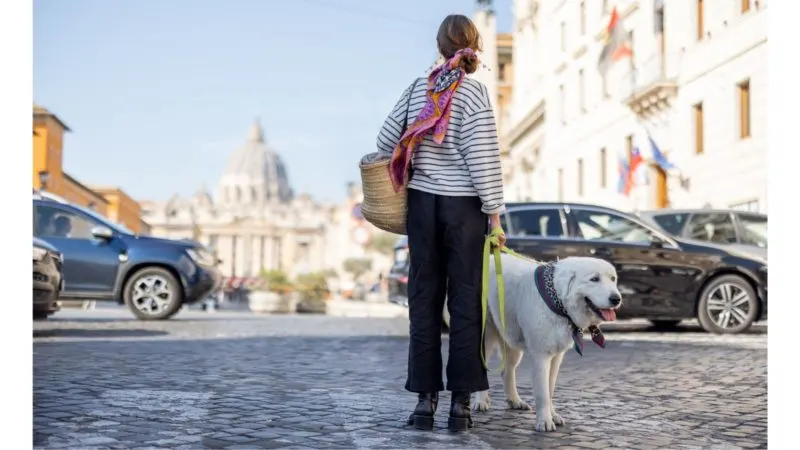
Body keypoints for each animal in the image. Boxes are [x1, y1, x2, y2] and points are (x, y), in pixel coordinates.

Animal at [472, 253, 620, 432]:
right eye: (594, 279)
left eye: (613, 279)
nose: (616, 299)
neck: (557, 298)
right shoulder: (540, 355)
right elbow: (542, 393)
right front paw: (544, 422)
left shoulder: (556, 357)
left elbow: (549, 390)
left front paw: (553, 415)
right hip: (486, 337)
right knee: (482, 368)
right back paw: (481, 401)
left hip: (512, 341)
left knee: (507, 371)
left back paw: (515, 401)